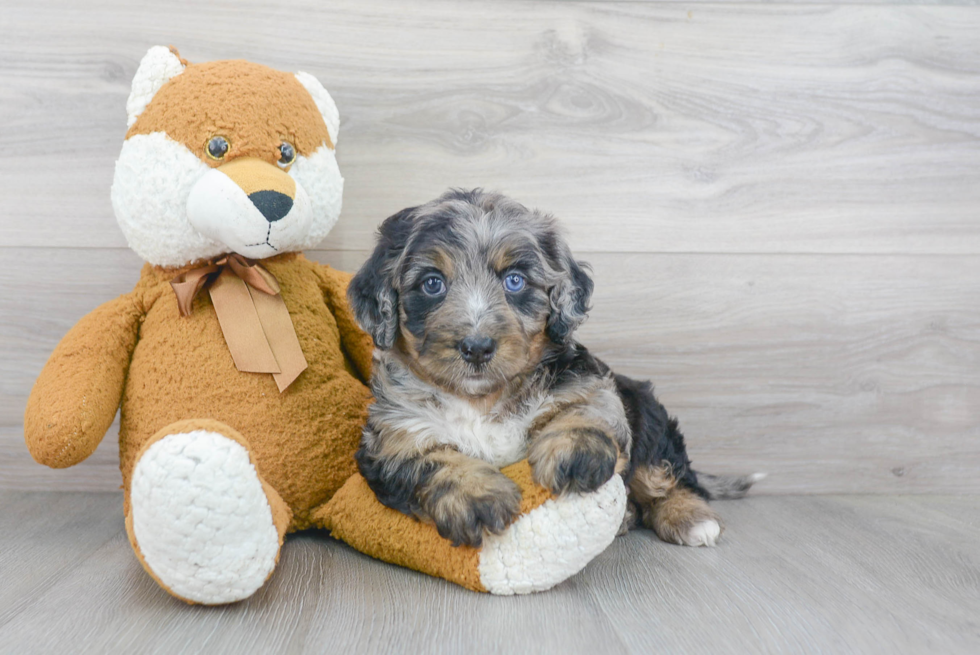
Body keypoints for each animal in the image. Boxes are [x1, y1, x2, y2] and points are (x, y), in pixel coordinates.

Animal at [348, 188, 760, 548]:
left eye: (514, 280)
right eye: (432, 284)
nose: (477, 347)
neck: (483, 399)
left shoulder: (584, 379)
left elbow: (585, 409)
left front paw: (574, 452)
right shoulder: (393, 435)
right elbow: (430, 459)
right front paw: (477, 496)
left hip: (648, 414)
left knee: (665, 478)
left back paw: (691, 518)